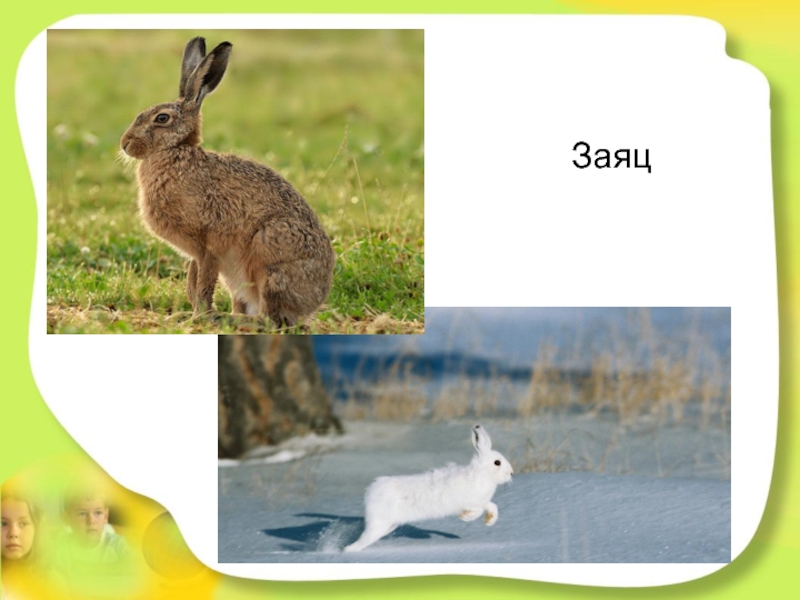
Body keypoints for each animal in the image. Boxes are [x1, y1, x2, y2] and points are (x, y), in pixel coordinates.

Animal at [120, 37, 335, 327]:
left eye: (161, 118)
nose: (125, 144)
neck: (176, 151)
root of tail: (313, 302)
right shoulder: (196, 253)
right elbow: (192, 283)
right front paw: (188, 315)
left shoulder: (210, 243)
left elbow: (202, 285)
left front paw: (199, 318)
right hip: (237, 279)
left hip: (268, 255)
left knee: (270, 318)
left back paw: (230, 320)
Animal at [343, 425, 513, 552]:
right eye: (497, 462)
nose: (511, 473)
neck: (481, 474)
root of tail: (371, 491)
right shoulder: (468, 502)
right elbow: (476, 511)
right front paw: (465, 517)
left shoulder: (483, 502)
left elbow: (493, 506)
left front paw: (489, 522)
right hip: (379, 524)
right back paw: (346, 551)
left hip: (389, 525)